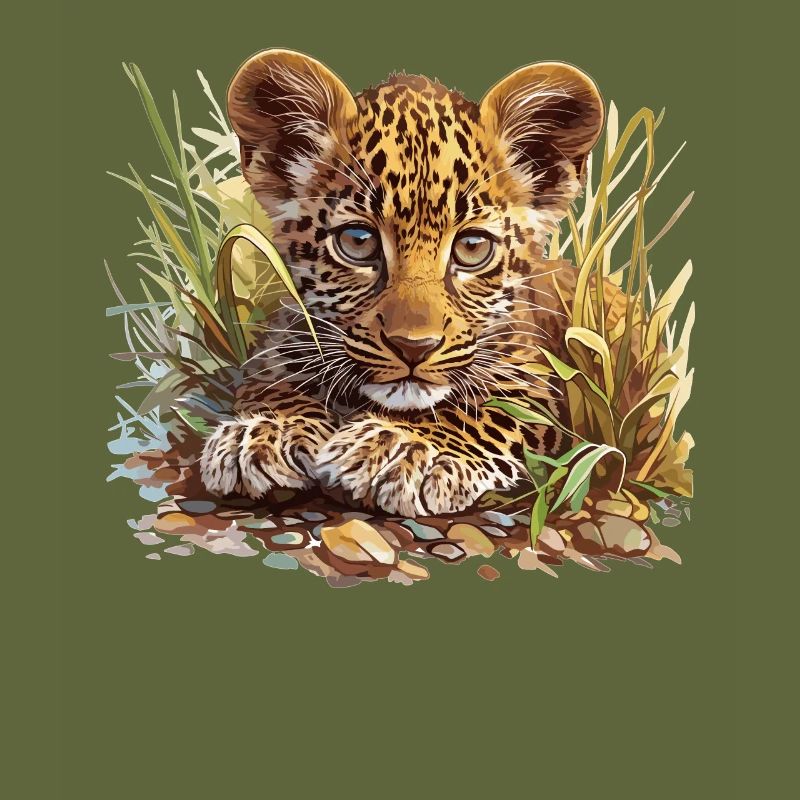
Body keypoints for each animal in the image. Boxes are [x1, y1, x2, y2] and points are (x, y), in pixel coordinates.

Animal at [201, 48, 627, 519]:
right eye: (358, 241)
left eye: (472, 247)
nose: (413, 347)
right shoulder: (281, 345)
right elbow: (272, 385)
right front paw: (267, 433)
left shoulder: (538, 382)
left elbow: (484, 412)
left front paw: (404, 448)